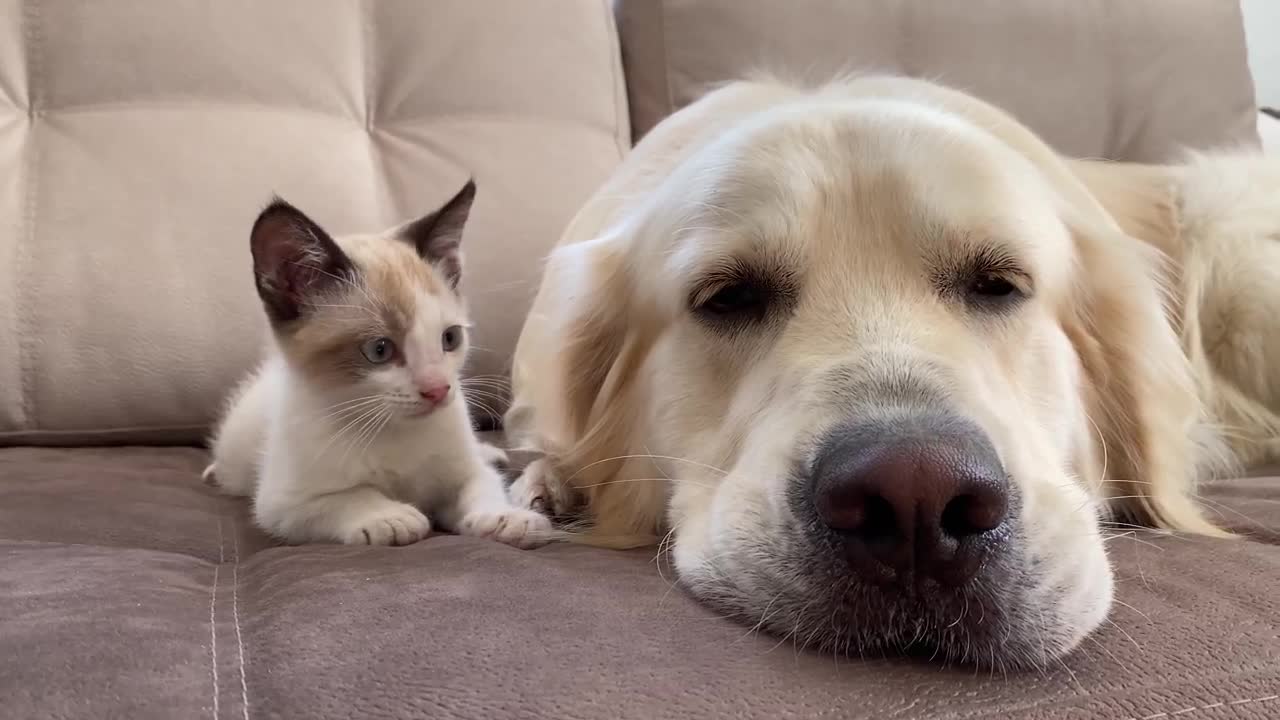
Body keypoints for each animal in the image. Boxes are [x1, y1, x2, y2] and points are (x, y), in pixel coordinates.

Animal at [202, 181, 547, 545]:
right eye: (379, 350)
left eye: (450, 338)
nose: (438, 390)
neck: (391, 429)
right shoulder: (282, 501)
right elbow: (346, 497)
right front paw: (389, 516)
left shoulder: (465, 467)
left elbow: (480, 484)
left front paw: (504, 516)